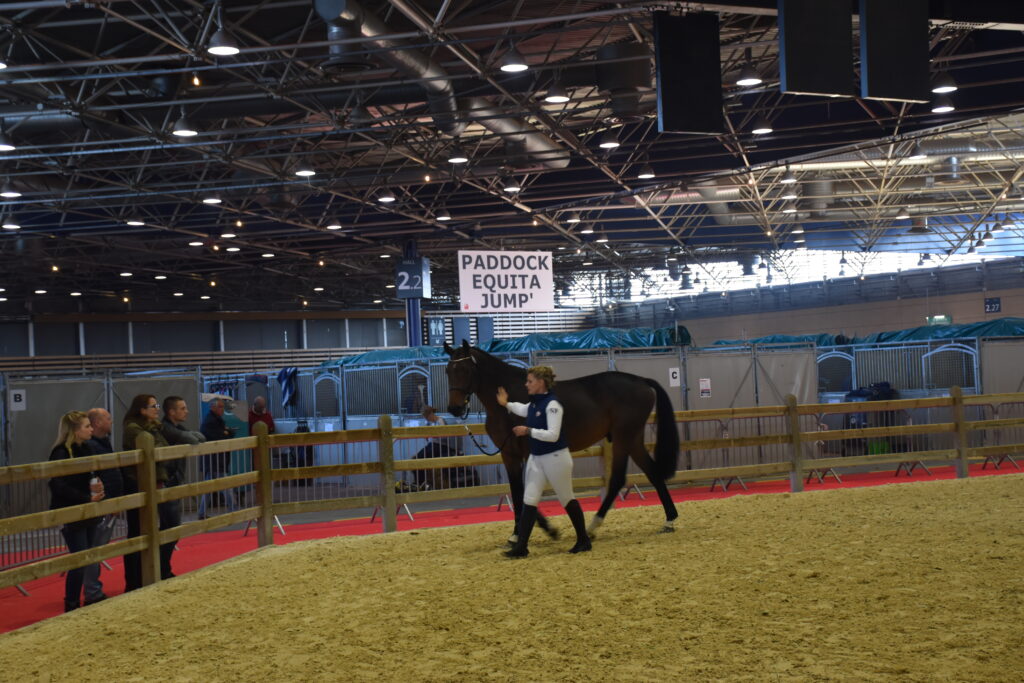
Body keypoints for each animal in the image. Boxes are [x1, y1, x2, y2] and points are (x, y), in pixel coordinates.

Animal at [444, 341, 680, 542]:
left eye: (465, 370)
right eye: (448, 371)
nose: (454, 408)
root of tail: (641, 381)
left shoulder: (528, 452)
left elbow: (526, 492)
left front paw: (547, 530)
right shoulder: (508, 454)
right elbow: (517, 491)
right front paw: (517, 533)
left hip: (624, 437)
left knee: (619, 479)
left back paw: (593, 526)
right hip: (632, 439)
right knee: (651, 472)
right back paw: (668, 520)